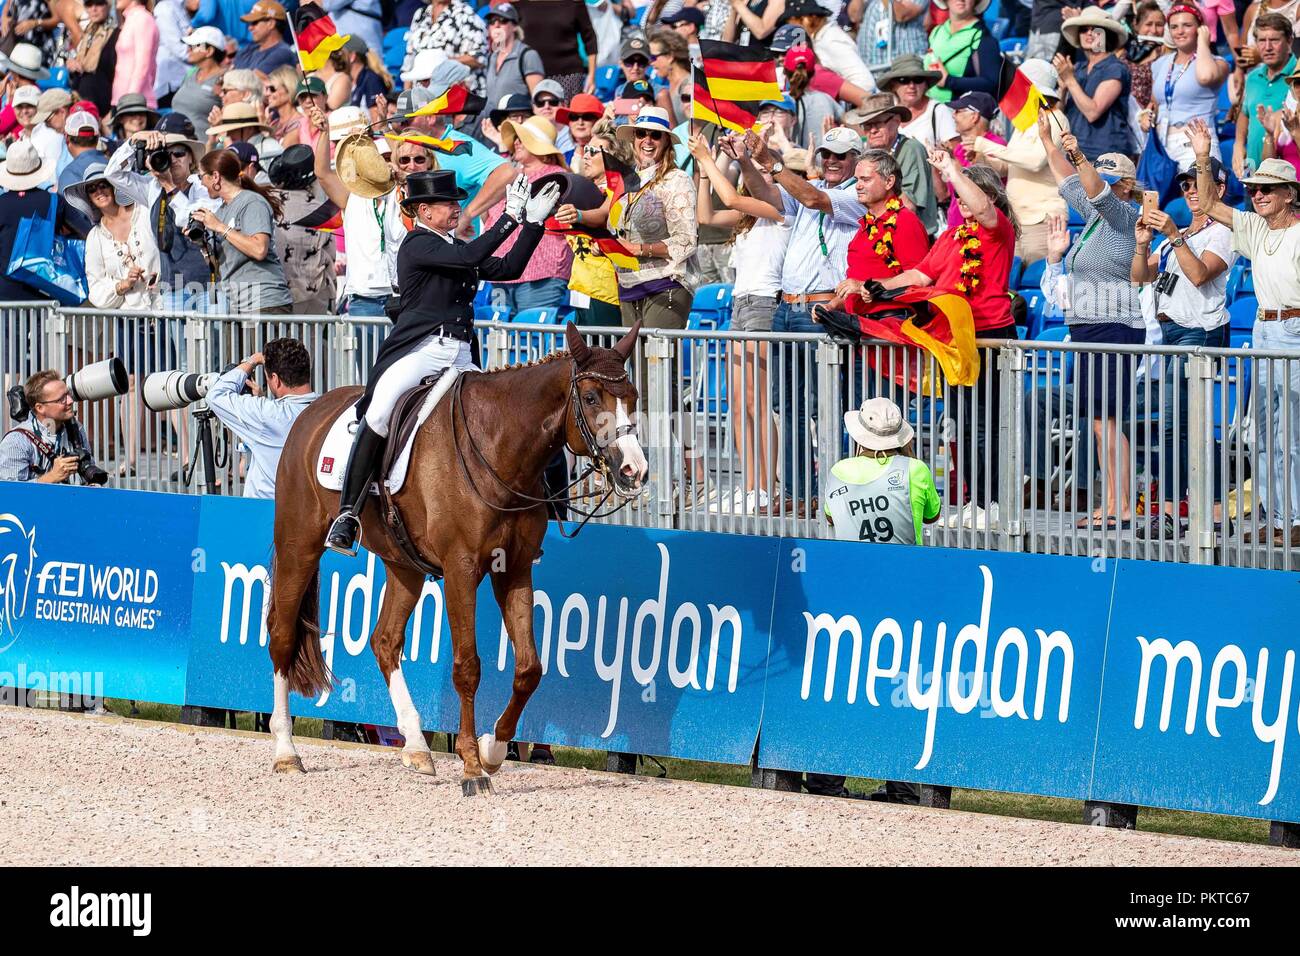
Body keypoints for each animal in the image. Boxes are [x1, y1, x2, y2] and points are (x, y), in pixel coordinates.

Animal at [266, 321, 647, 790]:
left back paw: (416, 746)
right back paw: (286, 750)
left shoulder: (514, 568)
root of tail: (309, 409)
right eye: (592, 398)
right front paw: (470, 766)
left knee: (385, 641)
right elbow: (468, 666)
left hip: (404, 566)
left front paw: (493, 749)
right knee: (282, 636)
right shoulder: (461, 569)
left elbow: (529, 669)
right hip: (299, 544)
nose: (633, 470)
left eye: (632, 397)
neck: (498, 446)